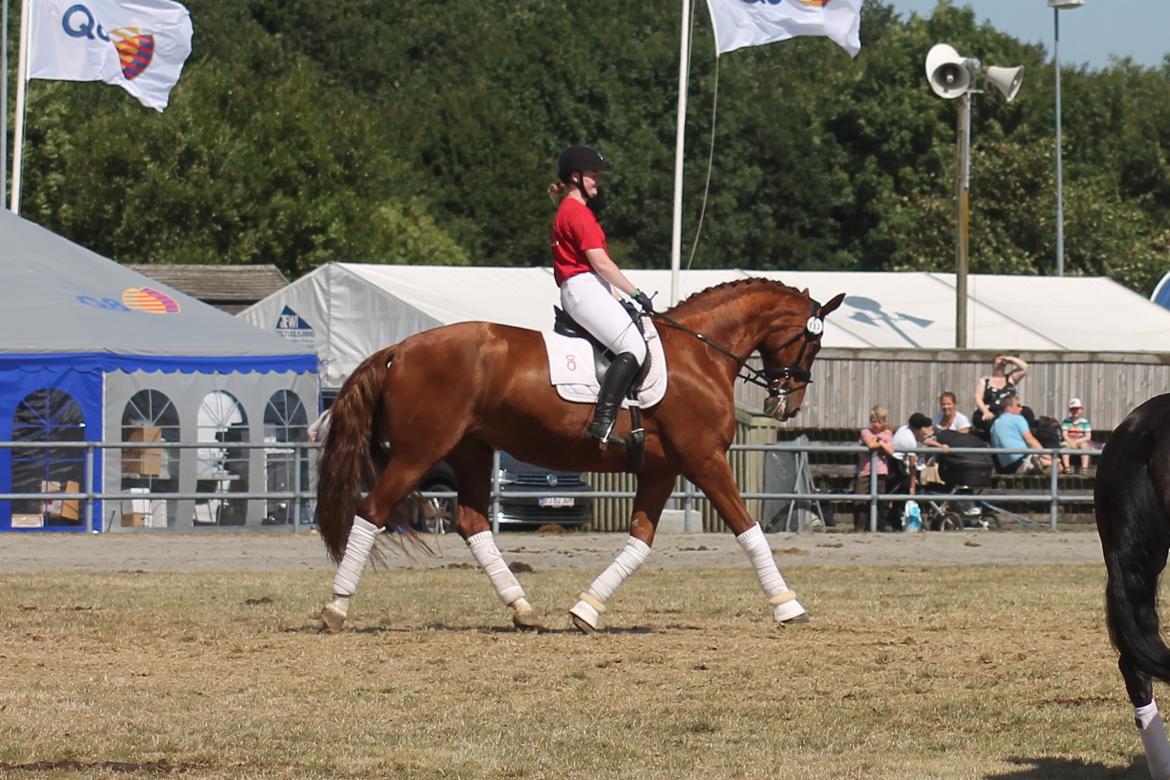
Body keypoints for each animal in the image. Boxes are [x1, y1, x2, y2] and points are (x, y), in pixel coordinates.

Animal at [318, 279, 842, 636]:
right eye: (812, 342)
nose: (788, 405)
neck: (698, 354)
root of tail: (400, 348)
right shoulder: (705, 460)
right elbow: (748, 530)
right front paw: (788, 605)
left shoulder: (662, 470)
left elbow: (640, 543)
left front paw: (586, 609)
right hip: (419, 451)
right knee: (372, 510)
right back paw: (337, 607)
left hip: (471, 451)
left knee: (472, 522)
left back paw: (523, 609)